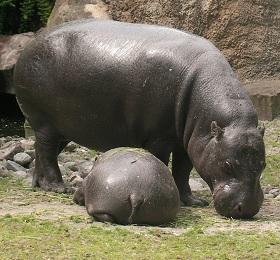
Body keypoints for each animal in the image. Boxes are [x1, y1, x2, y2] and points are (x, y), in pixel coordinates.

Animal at [14, 18, 266, 218]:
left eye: (263, 164)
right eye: (227, 163)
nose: (248, 209)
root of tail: (28, 45)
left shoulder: (189, 142)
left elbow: (183, 170)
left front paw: (193, 201)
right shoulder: (159, 138)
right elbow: (163, 163)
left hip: (64, 127)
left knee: (41, 151)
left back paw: (38, 185)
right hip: (44, 122)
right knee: (46, 152)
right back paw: (57, 187)